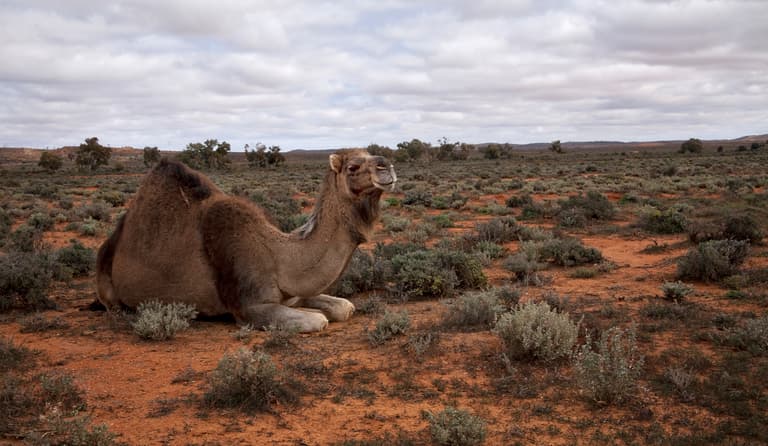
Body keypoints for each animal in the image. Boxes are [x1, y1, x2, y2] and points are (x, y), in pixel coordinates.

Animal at [96, 149, 396, 332]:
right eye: (353, 167)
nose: (387, 166)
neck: (279, 255)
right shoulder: (248, 306)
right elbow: (319, 320)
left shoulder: (294, 294)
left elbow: (344, 307)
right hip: (108, 286)